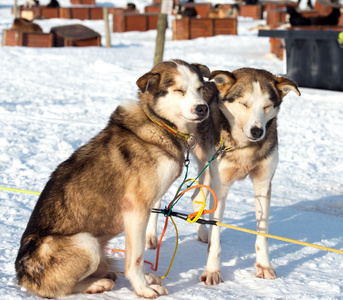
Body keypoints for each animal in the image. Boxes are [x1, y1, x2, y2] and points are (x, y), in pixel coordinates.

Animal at [16, 58, 211, 298]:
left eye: (200, 89)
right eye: (179, 90)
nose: (202, 108)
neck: (158, 123)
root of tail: (22, 275)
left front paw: (145, 281)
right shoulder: (136, 209)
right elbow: (135, 259)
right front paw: (143, 288)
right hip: (87, 243)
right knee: (61, 289)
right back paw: (97, 284)